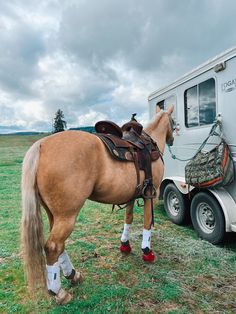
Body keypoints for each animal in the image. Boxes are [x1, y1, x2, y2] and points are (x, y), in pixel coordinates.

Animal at [21, 105, 174, 304]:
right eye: (173, 121)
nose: (173, 138)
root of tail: (41, 144)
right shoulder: (151, 194)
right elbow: (147, 223)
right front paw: (147, 252)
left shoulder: (132, 195)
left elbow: (129, 218)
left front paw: (125, 245)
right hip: (67, 216)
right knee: (53, 246)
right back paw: (59, 291)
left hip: (54, 214)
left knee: (59, 246)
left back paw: (73, 274)